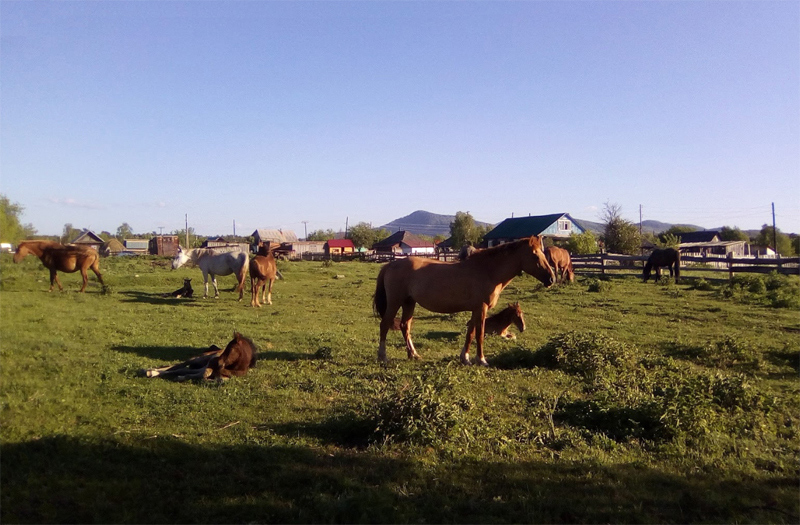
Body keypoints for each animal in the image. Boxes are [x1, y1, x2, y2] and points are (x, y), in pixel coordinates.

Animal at [374, 235, 552, 366]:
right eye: (535, 254)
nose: (551, 278)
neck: (487, 270)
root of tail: (390, 265)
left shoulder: (475, 309)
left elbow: (470, 334)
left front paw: (465, 358)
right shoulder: (481, 308)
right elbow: (479, 334)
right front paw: (481, 360)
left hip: (409, 303)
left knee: (405, 326)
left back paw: (413, 354)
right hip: (395, 302)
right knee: (384, 325)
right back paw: (383, 357)